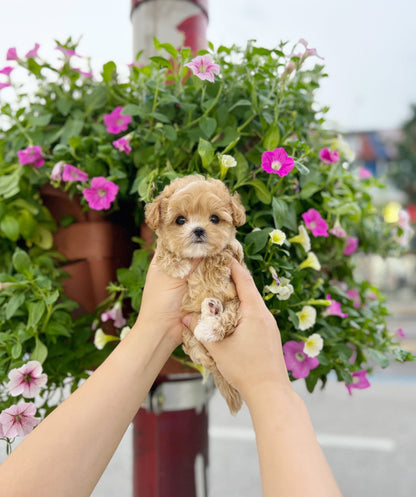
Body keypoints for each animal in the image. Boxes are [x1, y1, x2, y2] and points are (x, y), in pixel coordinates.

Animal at [145, 174, 245, 414]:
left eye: (214, 219)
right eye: (180, 220)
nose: (198, 230)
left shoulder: (233, 257)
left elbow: (220, 254)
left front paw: (215, 276)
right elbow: (164, 251)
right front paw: (178, 264)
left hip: (236, 305)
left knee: (226, 321)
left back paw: (210, 324)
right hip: (188, 332)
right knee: (201, 352)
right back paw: (209, 311)